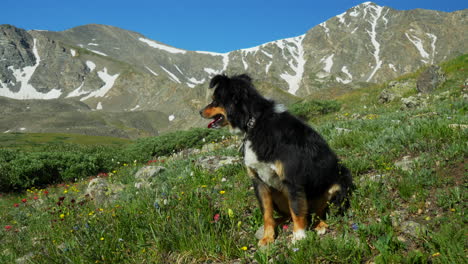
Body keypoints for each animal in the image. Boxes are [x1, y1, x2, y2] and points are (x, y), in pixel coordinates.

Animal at [199, 72, 352, 245]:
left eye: (215, 100)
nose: (200, 111)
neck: (253, 123)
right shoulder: (259, 182)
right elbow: (267, 213)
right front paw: (267, 237)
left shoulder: (292, 179)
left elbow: (297, 210)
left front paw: (299, 236)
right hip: (278, 195)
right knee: (289, 214)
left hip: (337, 185)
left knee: (319, 211)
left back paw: (320, 225)